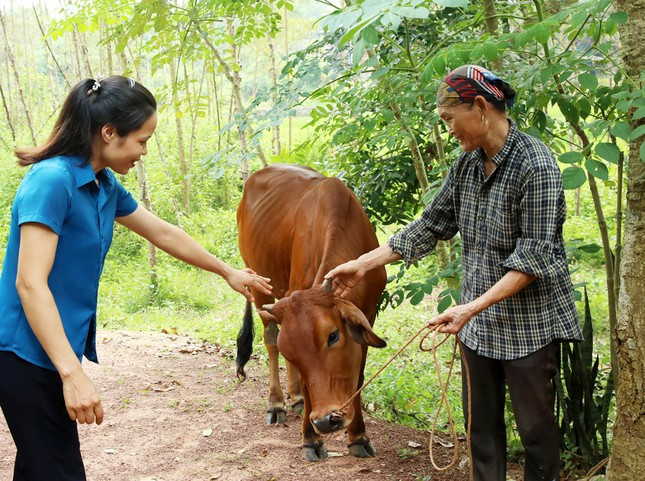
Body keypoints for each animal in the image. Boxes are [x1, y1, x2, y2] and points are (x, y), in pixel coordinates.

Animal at [236, 165, 388, 462]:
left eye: (333, 336)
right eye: (291, 349)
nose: (324, 421)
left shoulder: (369, 312)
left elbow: (358, 376)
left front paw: (358, 436)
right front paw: (310, 439)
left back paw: (295, 399)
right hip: (259, 283)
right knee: (270, 339)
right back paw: (277, 403)